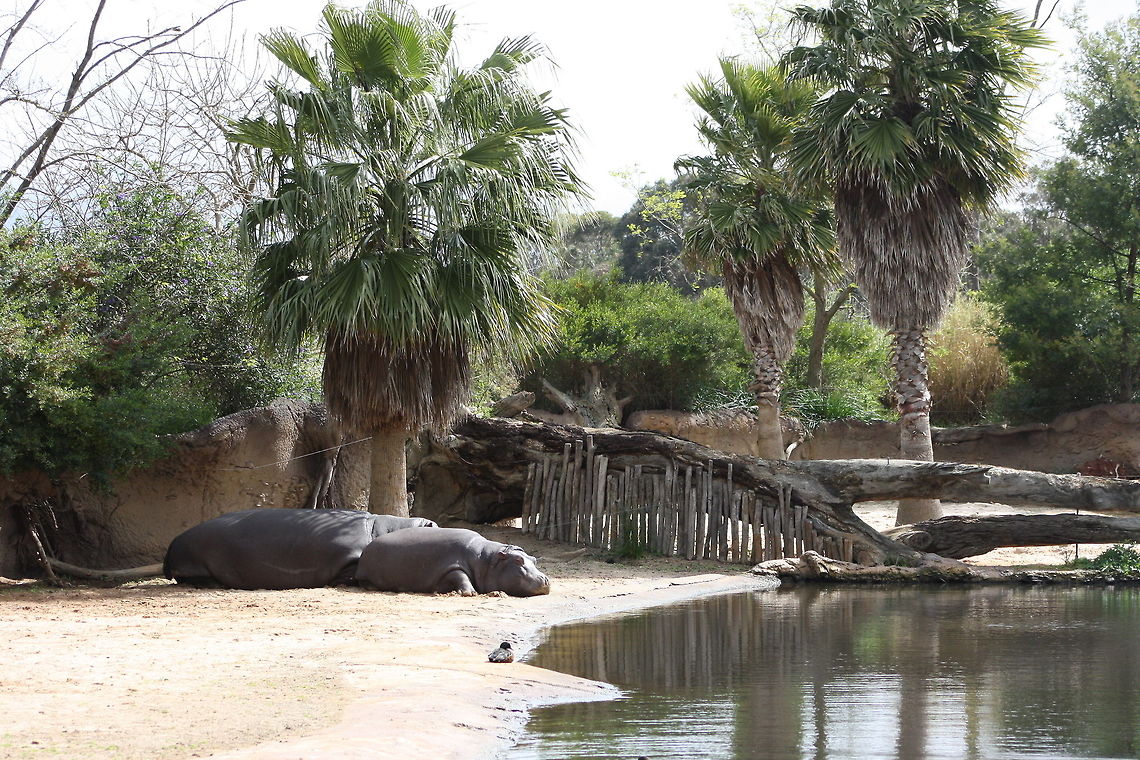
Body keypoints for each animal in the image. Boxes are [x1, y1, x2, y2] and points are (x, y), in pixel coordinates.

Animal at [355, 527, 551, 597]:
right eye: (518, 560)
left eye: (533, 559)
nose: (546, 580)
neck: (487, 560)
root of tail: (367, 547)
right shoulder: (451, 566)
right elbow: (460, 575)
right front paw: (470, 594)